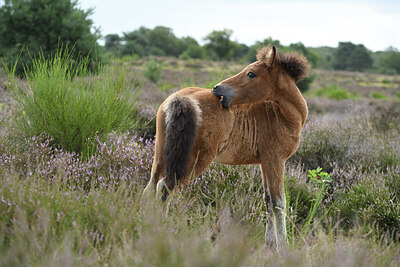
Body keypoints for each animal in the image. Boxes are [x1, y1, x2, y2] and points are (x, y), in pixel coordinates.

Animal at [142, 46, 310, 249]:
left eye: (251, 74)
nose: (217, 88)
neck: (281, 113)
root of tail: (180, 98)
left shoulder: (265, 162)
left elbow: (268, 200)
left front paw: (270, 243)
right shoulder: (275, 159)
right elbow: (279, 202)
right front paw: (283, 246)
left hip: (161, 154)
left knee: (150, 187)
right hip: (194, 161)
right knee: (165, 187)